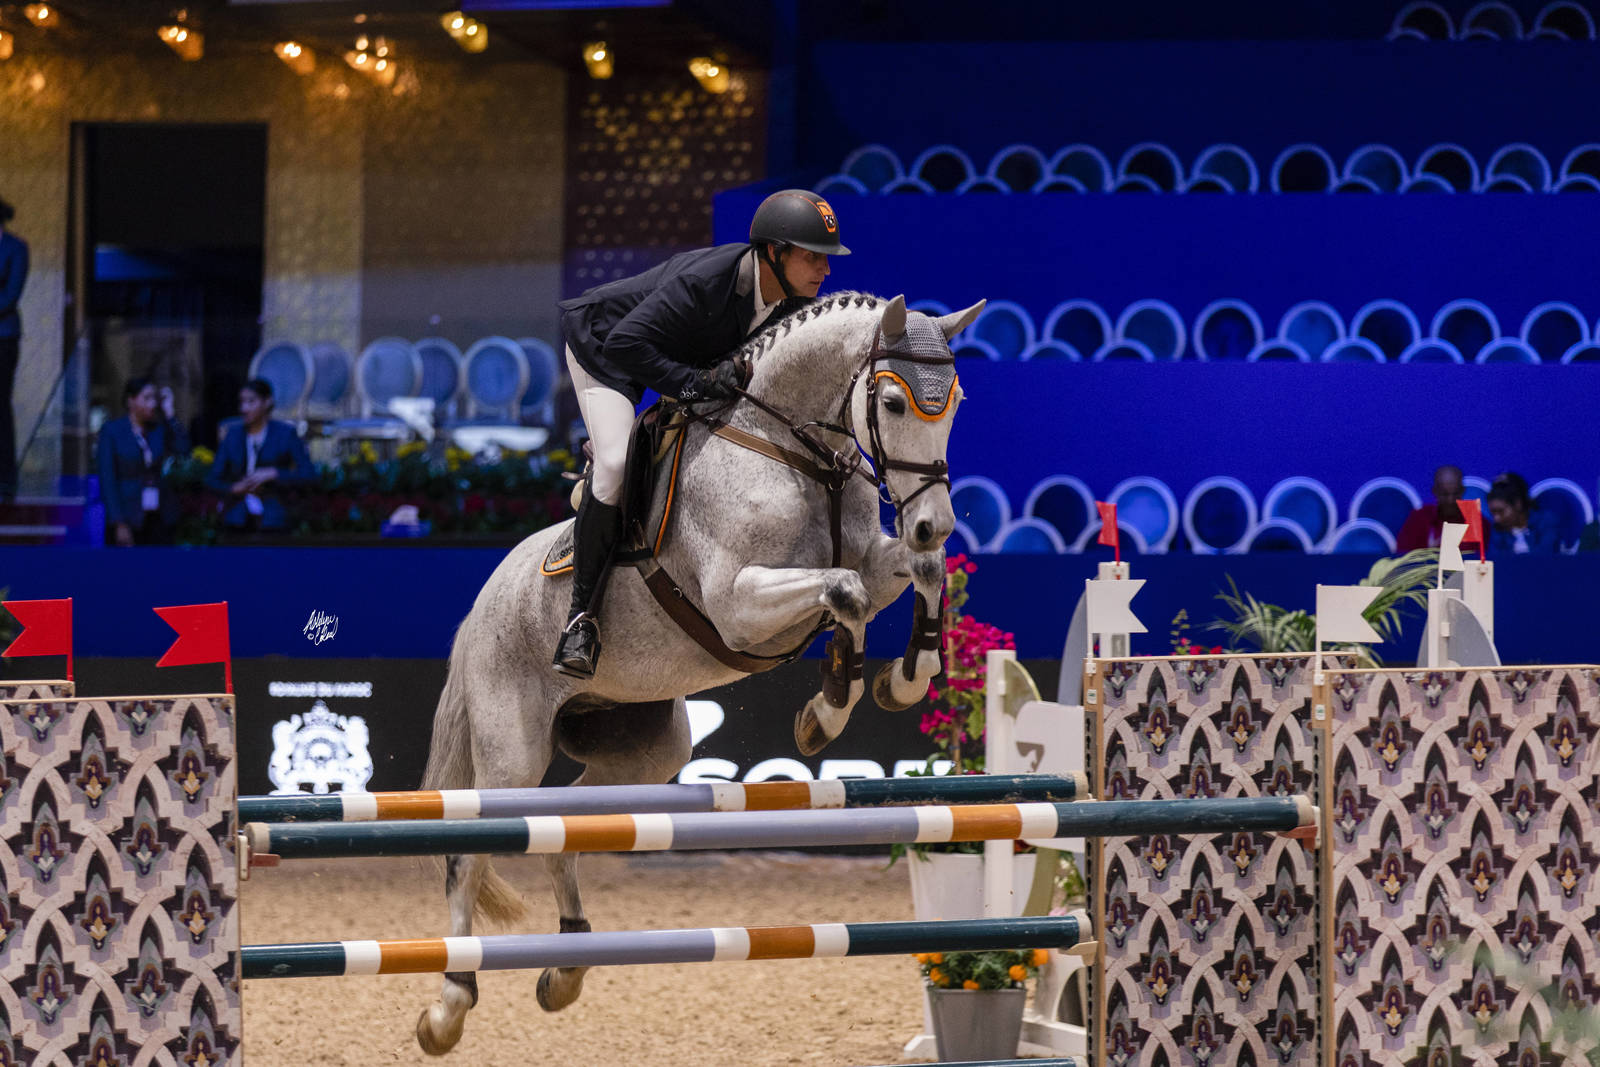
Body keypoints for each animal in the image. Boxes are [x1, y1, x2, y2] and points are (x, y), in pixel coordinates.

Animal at [413, 291, 982, 1054]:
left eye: (955, 400)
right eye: (892, 402)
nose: (933, 520)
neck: (798, 452)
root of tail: (477, 610)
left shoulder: (876, 559)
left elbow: (917, 573)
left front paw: (902, 678)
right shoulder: (738, 602)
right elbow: (846, 593)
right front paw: (825, 712)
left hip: (647, 748)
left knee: (566, 831)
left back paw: (566, 967)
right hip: (511, 751)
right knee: (469, 855)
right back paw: (449, 1003)